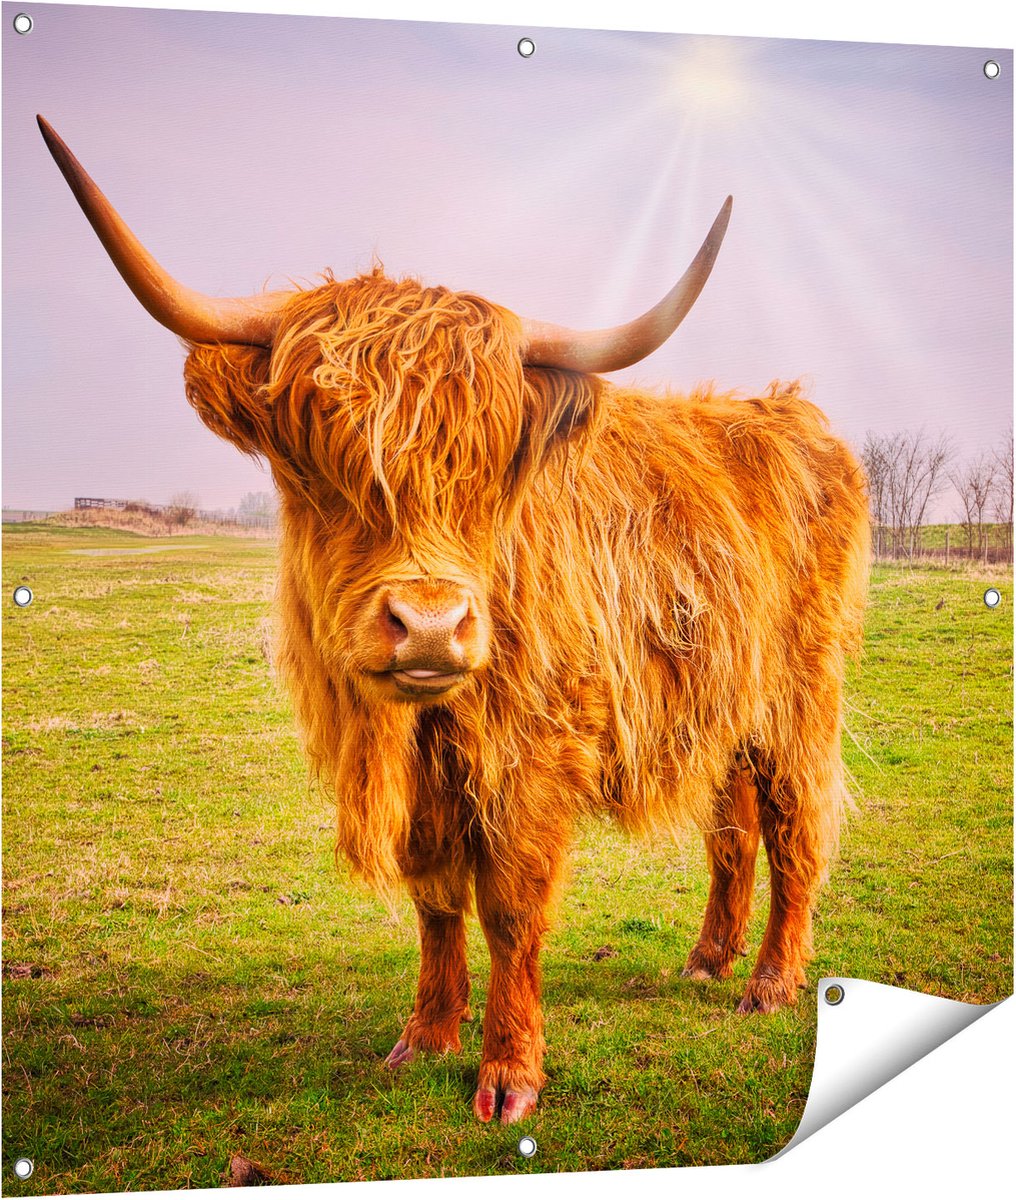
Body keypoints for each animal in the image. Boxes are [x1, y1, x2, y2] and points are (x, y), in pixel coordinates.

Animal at [39, 115, 869, 1126]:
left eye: (489, 466)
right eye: (318, 459)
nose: (431, 626)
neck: (423, 726)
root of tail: (789, 412)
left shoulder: (533, 753)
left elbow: (510, 907)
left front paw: (509, 1073)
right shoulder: (427, 779)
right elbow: (435, 897)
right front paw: (427, 1035)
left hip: (800, 694)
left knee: (795, 824)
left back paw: (771, 981)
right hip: (724, 698)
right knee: (735, 825)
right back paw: (709, 959)